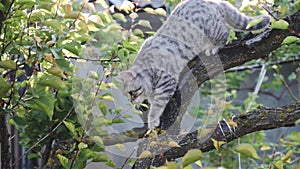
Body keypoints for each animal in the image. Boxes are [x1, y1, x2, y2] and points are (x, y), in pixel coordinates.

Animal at [116, 0, 270, 130]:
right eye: (127, 95)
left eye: (132, 92)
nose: (131, 101)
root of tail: (215, 2)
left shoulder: (167, 84)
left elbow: (157, 107)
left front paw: (153, 120)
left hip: (214, 31)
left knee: (226, 34)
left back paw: (212, 48)